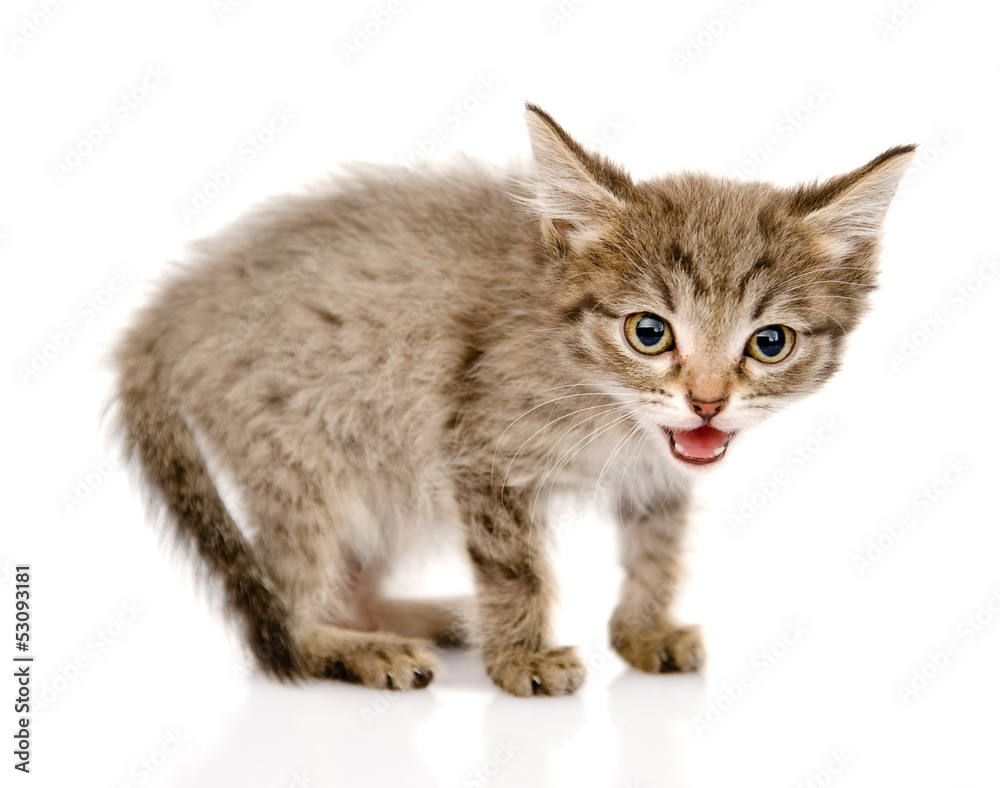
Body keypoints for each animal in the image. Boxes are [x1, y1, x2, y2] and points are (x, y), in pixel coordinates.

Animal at [111, 103, 916, 696]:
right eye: (649, 332)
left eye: (769, 342)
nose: (709, 402)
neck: (606, 401)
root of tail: (173, 306)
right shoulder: (478, 449)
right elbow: (514, 568)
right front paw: (521, 659)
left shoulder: (657, 470)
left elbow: (656, 546)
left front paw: (643, 632)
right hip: (304, 452)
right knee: (288, 612)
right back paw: (358, 648)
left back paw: (417, 617)